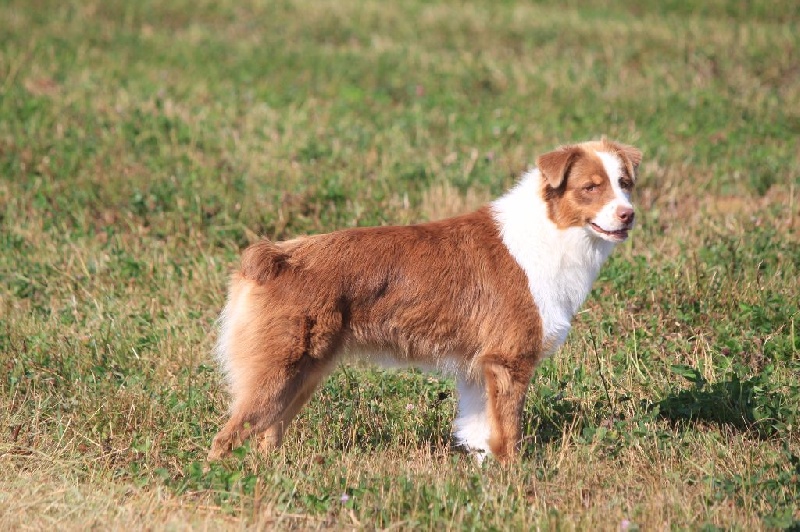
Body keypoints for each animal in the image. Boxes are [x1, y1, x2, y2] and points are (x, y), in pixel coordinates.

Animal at [209, 139, 640, 464]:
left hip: (304, 374)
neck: (551, 232)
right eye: (590, 187)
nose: (629, 215)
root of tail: (273, 256)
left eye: (624, 183)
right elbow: (507, 434)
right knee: (226, 438)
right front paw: (514, 481)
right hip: (277, 372)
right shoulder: (508, 360)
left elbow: (482, 433)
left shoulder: (479, 369)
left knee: (267, 435)